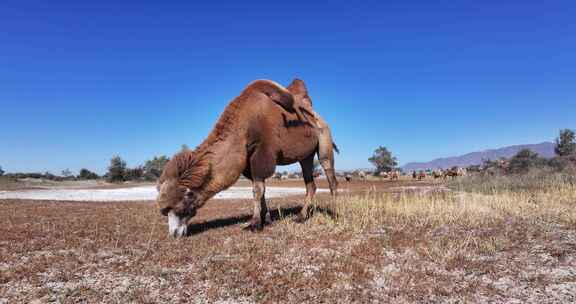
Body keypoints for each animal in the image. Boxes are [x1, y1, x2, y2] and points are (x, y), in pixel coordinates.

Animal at [155, 78, 340, 238]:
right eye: (165, 211)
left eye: (178, 208)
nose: (174, 234)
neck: (243, 125)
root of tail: (318, 118)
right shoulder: (247, 162)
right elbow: (259, 189)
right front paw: (266, 219)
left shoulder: (262, 152)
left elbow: (257, 189)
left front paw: (254, 224)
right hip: (305, 157)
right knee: (311, 185)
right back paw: (301, 217)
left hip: (324, 142)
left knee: (330, 177)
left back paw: (335, 214)